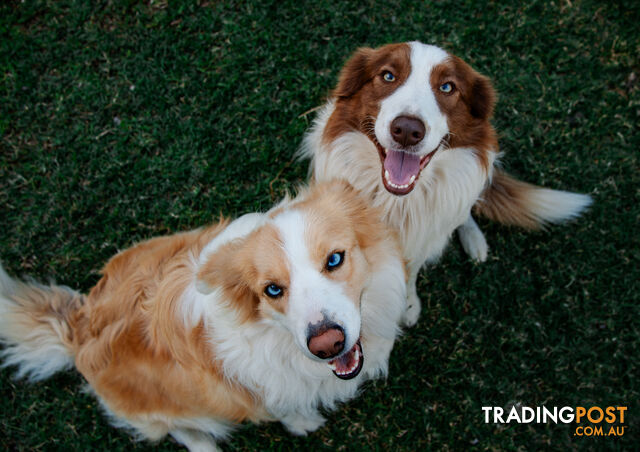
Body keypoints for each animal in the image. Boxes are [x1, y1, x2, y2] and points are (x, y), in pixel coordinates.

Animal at [0, 182, 410, 452]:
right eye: (272, 290)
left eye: (335, 259)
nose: (327, 344)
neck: (272, 334)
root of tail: (77, 326)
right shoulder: (263, 388)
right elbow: (284, 408)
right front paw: (304, 423)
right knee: (179, 428)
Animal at [302, 41, 592, 324]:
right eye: (388, 76)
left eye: (447, 87)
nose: (407, 130)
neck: (397, 201)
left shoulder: (421, 238)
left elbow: (410, 270)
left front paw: (407, 306)